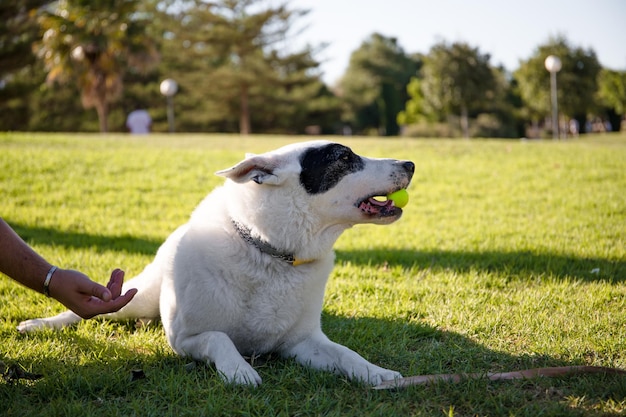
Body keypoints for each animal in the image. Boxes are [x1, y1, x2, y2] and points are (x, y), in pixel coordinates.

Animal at [17, 141, 412, 386]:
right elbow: (219, 338)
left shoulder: (302, 343)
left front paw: (375, 372)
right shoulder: (187, 339)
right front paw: (239, 370)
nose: (410, 163)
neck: (271, 253)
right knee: (86, 309)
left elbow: (346, 354)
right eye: (343, 158)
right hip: (133, 298)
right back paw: (38, 324)